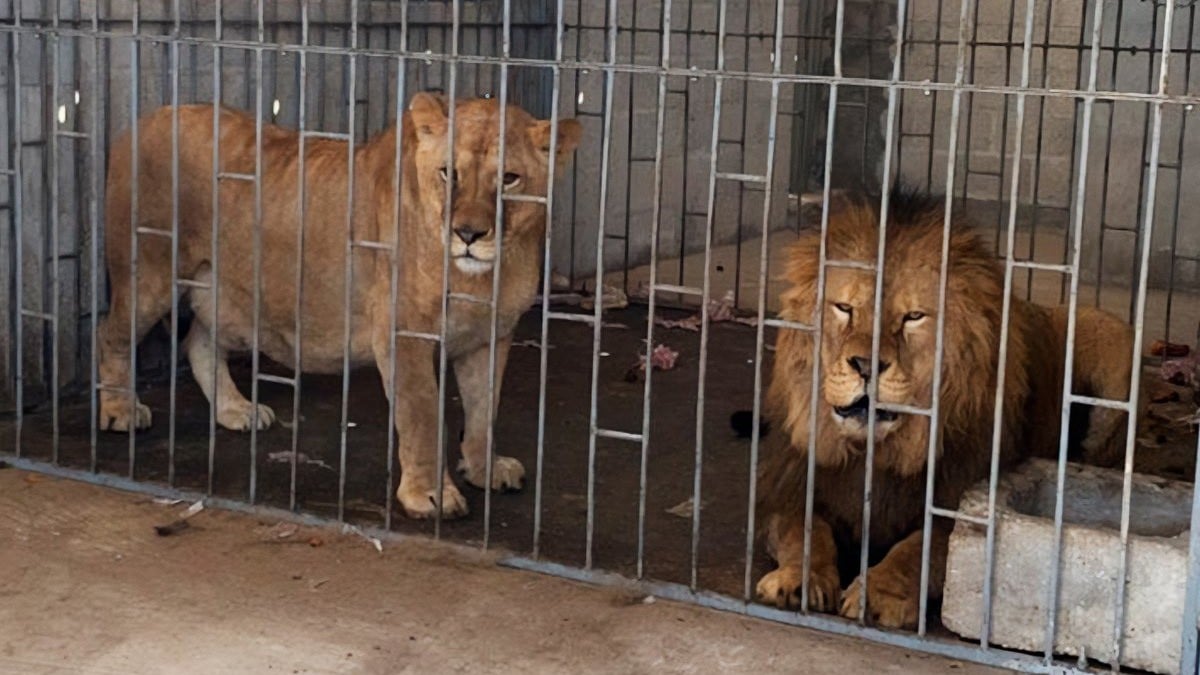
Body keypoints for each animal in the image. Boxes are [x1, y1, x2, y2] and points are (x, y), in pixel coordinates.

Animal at [96, 93, 581, 519]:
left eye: (509, 179)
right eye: (449, 173)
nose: (467, 234)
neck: (479, 279)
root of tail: (145, 119)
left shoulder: (490, 338)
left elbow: (484, 412)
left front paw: (484, 469)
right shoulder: (402, 336)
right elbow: (422, 415)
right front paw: (430, 496)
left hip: (228, 296)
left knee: (198, 340)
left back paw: (236, 410)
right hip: (149, 274)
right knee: (112, 334)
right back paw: (120, 410)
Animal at [752, 188, 1138, 628]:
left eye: (914, 317)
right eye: (844, 309)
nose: (866, 365)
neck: (878, 454)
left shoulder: (957, 500)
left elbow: (918, 551)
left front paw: (877, 594)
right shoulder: (789, 486)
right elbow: (803, 531)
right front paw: (798, 580)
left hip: (1109, 337)